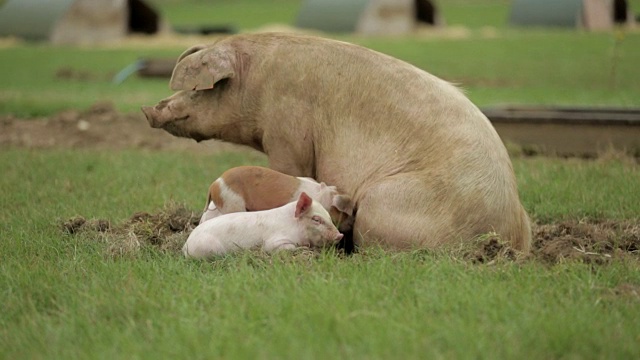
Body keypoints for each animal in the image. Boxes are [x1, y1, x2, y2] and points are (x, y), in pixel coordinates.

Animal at [182, 193, 342, 258]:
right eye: (316, 219)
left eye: (329, 217)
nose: (340, 235)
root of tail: (185, 245)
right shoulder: (274, 242)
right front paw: (304, 249)